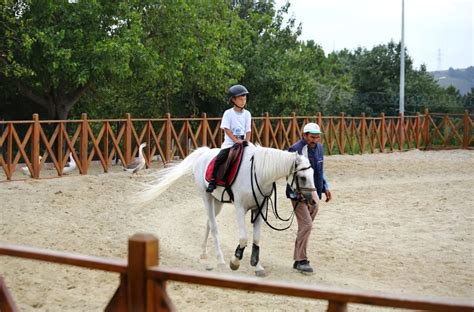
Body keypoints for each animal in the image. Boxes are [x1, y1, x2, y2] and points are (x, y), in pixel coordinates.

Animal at [141, 143, 318, 276]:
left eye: (313, 173)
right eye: (302, 177)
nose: (312, 200)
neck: (259, 173)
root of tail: (204, 154)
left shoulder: (260, 209)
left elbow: (256, 239)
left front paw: (257, 266)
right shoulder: (240, 208)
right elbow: (243, 238)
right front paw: (235, 261)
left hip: (217, 202)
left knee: (208, 223)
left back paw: (203, 253)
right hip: (206, 198)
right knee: (213, 227)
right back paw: (220, 260)